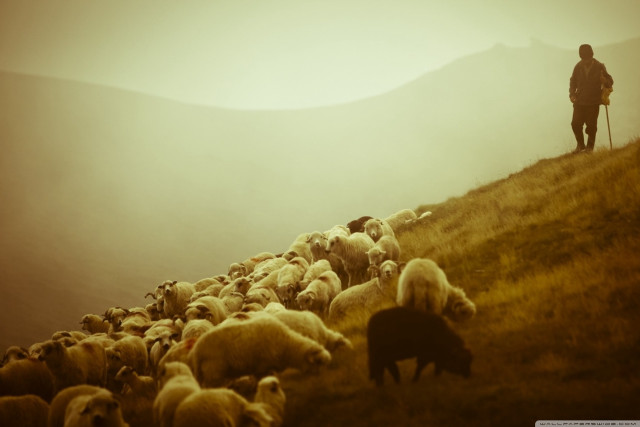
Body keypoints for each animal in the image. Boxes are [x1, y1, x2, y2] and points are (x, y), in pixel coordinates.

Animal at [189, 315, 332, 388]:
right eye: (318, 362)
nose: (322, 380)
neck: (287, 345)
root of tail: (197, 350)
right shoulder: (262, 367)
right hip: (213, 371)